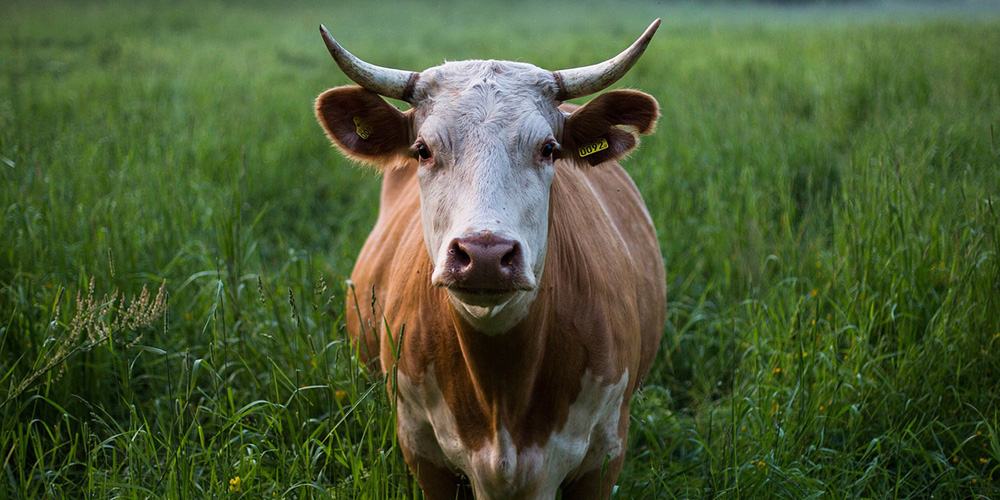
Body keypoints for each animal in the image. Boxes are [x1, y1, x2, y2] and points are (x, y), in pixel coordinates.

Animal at [314, 19, 666, 500]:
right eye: (423, 149)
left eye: (549, 148)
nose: (483, 254)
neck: (502, 395)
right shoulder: (421, 450)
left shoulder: (605, 454)